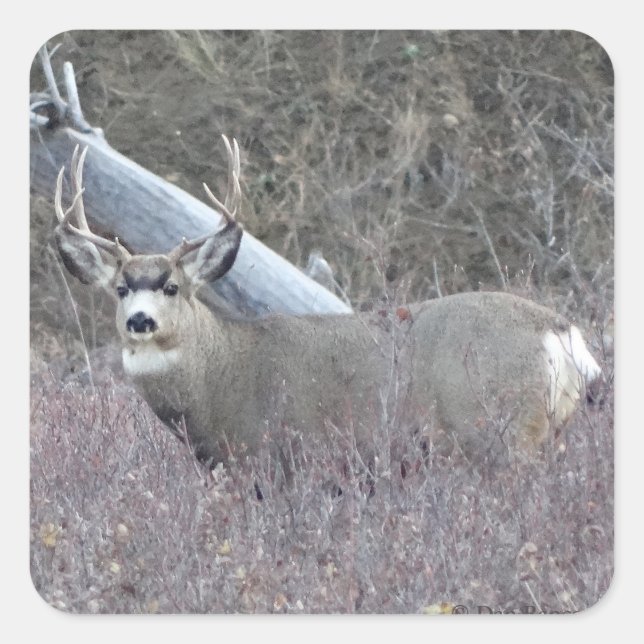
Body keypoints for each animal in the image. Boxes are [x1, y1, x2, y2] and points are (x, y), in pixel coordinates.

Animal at [53, 136, 602, 468]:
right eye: (120, 289)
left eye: (172, 287)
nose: (140, 321)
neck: (221, 378)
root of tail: (561, 332)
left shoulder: (280, 458)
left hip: (499, 432)